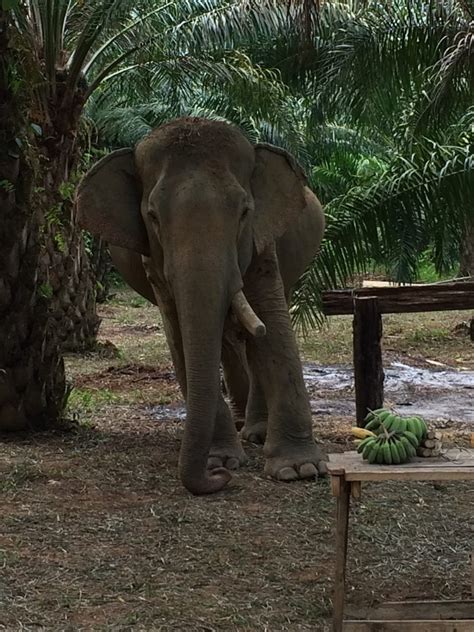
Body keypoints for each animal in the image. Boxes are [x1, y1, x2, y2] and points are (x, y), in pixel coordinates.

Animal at [77, 117, 326, 494]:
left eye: (244, 211)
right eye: (152, 216)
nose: (218, 479)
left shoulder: (261, 241)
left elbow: (273, 320)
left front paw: (300, 469)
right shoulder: (154, 264)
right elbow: (180, 331)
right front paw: (220, 460)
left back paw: (255, 433)